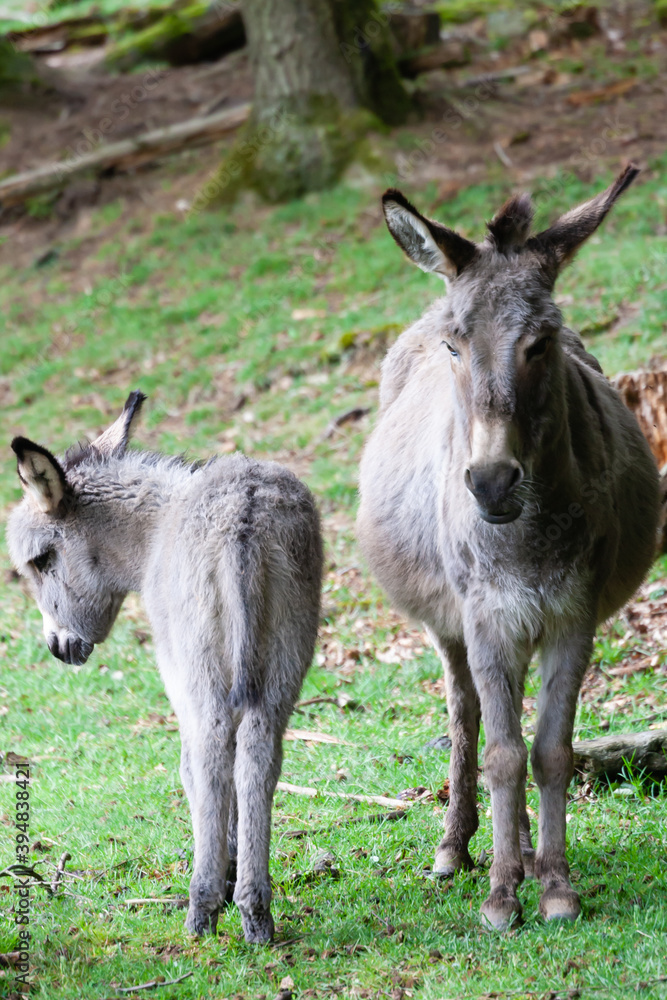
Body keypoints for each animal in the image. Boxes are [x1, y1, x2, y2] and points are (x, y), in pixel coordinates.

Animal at [7, 392, 324, 944]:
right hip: (285, 659)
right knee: (258, 757)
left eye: (41, 560)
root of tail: (244, 514)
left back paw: (202, 910)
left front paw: (218, 879)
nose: (58, 648)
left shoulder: (179, 678)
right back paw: (255, 910)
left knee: (211, 758)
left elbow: (191, 772)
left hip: (202, 675)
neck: (152, 533)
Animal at [358, 166, 660, 928]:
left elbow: (549, 750)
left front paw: (553, 884)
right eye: (455, 347)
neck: (524, 537)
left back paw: (522, 849)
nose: (492, 482)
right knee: (466, 718)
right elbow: (500, 753)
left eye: (540, 343)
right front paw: (499, 895)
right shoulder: (485, 617)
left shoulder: (570, 616)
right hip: (451, 626)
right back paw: (456, 849)